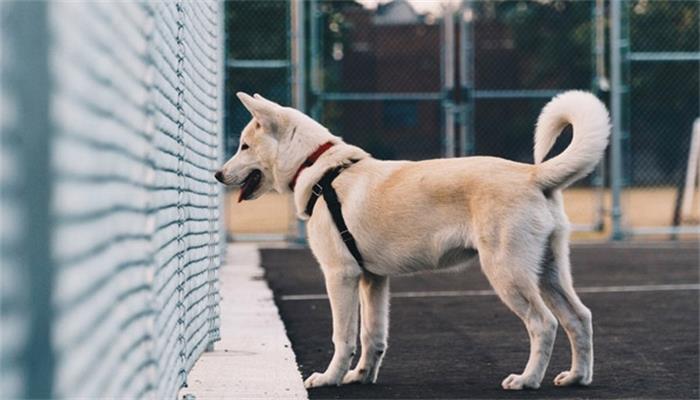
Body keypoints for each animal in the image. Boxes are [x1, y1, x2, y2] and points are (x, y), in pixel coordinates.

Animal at [216, 90, 608, 390]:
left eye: (244, 146)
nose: (218, 174)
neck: (320, 171)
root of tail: (534, 174)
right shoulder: (373, 280)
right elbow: (372, 336)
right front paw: (361, 376)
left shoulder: (340, 276)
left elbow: (343, 337)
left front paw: (329, 378)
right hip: (548, 273)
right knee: (580, 318)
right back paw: (577, 377)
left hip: (508, 273)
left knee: (544, 324)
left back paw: (527, 380)